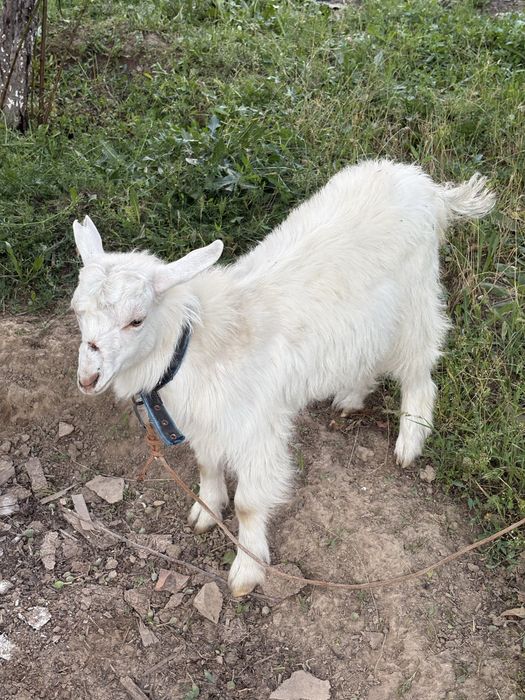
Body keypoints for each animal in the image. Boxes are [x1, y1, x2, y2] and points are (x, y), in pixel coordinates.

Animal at [71, 159, 494, 596]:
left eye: (136, 320)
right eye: (77, 311)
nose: (88, 378)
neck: (199, 343)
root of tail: (425, 186)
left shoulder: (257, 430)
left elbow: (248, 504)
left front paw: (247, 569)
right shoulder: (206, 421)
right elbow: (206, 465)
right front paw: (206, 512)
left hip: (415, 301)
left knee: (420, 372)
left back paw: (409, 441)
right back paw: (351, 396)